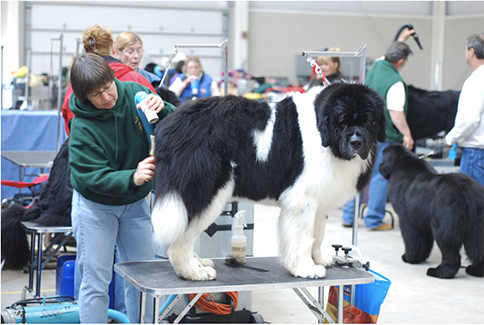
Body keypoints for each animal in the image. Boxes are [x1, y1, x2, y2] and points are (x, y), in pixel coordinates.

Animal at [151, 82, 386, 280]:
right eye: (343, 122)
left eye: (367, 121)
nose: (356, 142)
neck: (324, 134)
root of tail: (172, 121)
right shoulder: (302, 201)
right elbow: (303, 237)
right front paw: (306, 268)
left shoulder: (318, 201)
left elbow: (317, 235)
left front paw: (319, 259)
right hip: (203, 192)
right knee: (182, 239)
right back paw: (193, 271)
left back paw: (199, 263)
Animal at [380, 143, 484, 278]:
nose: (379, 166)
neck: (403, 159)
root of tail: (465, 188)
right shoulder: (422, 221)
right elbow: (425, 242)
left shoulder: (407, 220)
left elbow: (413, 241)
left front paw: (410, 258)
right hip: (477, 227)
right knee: (478, 248)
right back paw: (476, 270)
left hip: (444, 226)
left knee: (450, 252)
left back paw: (440, 272)